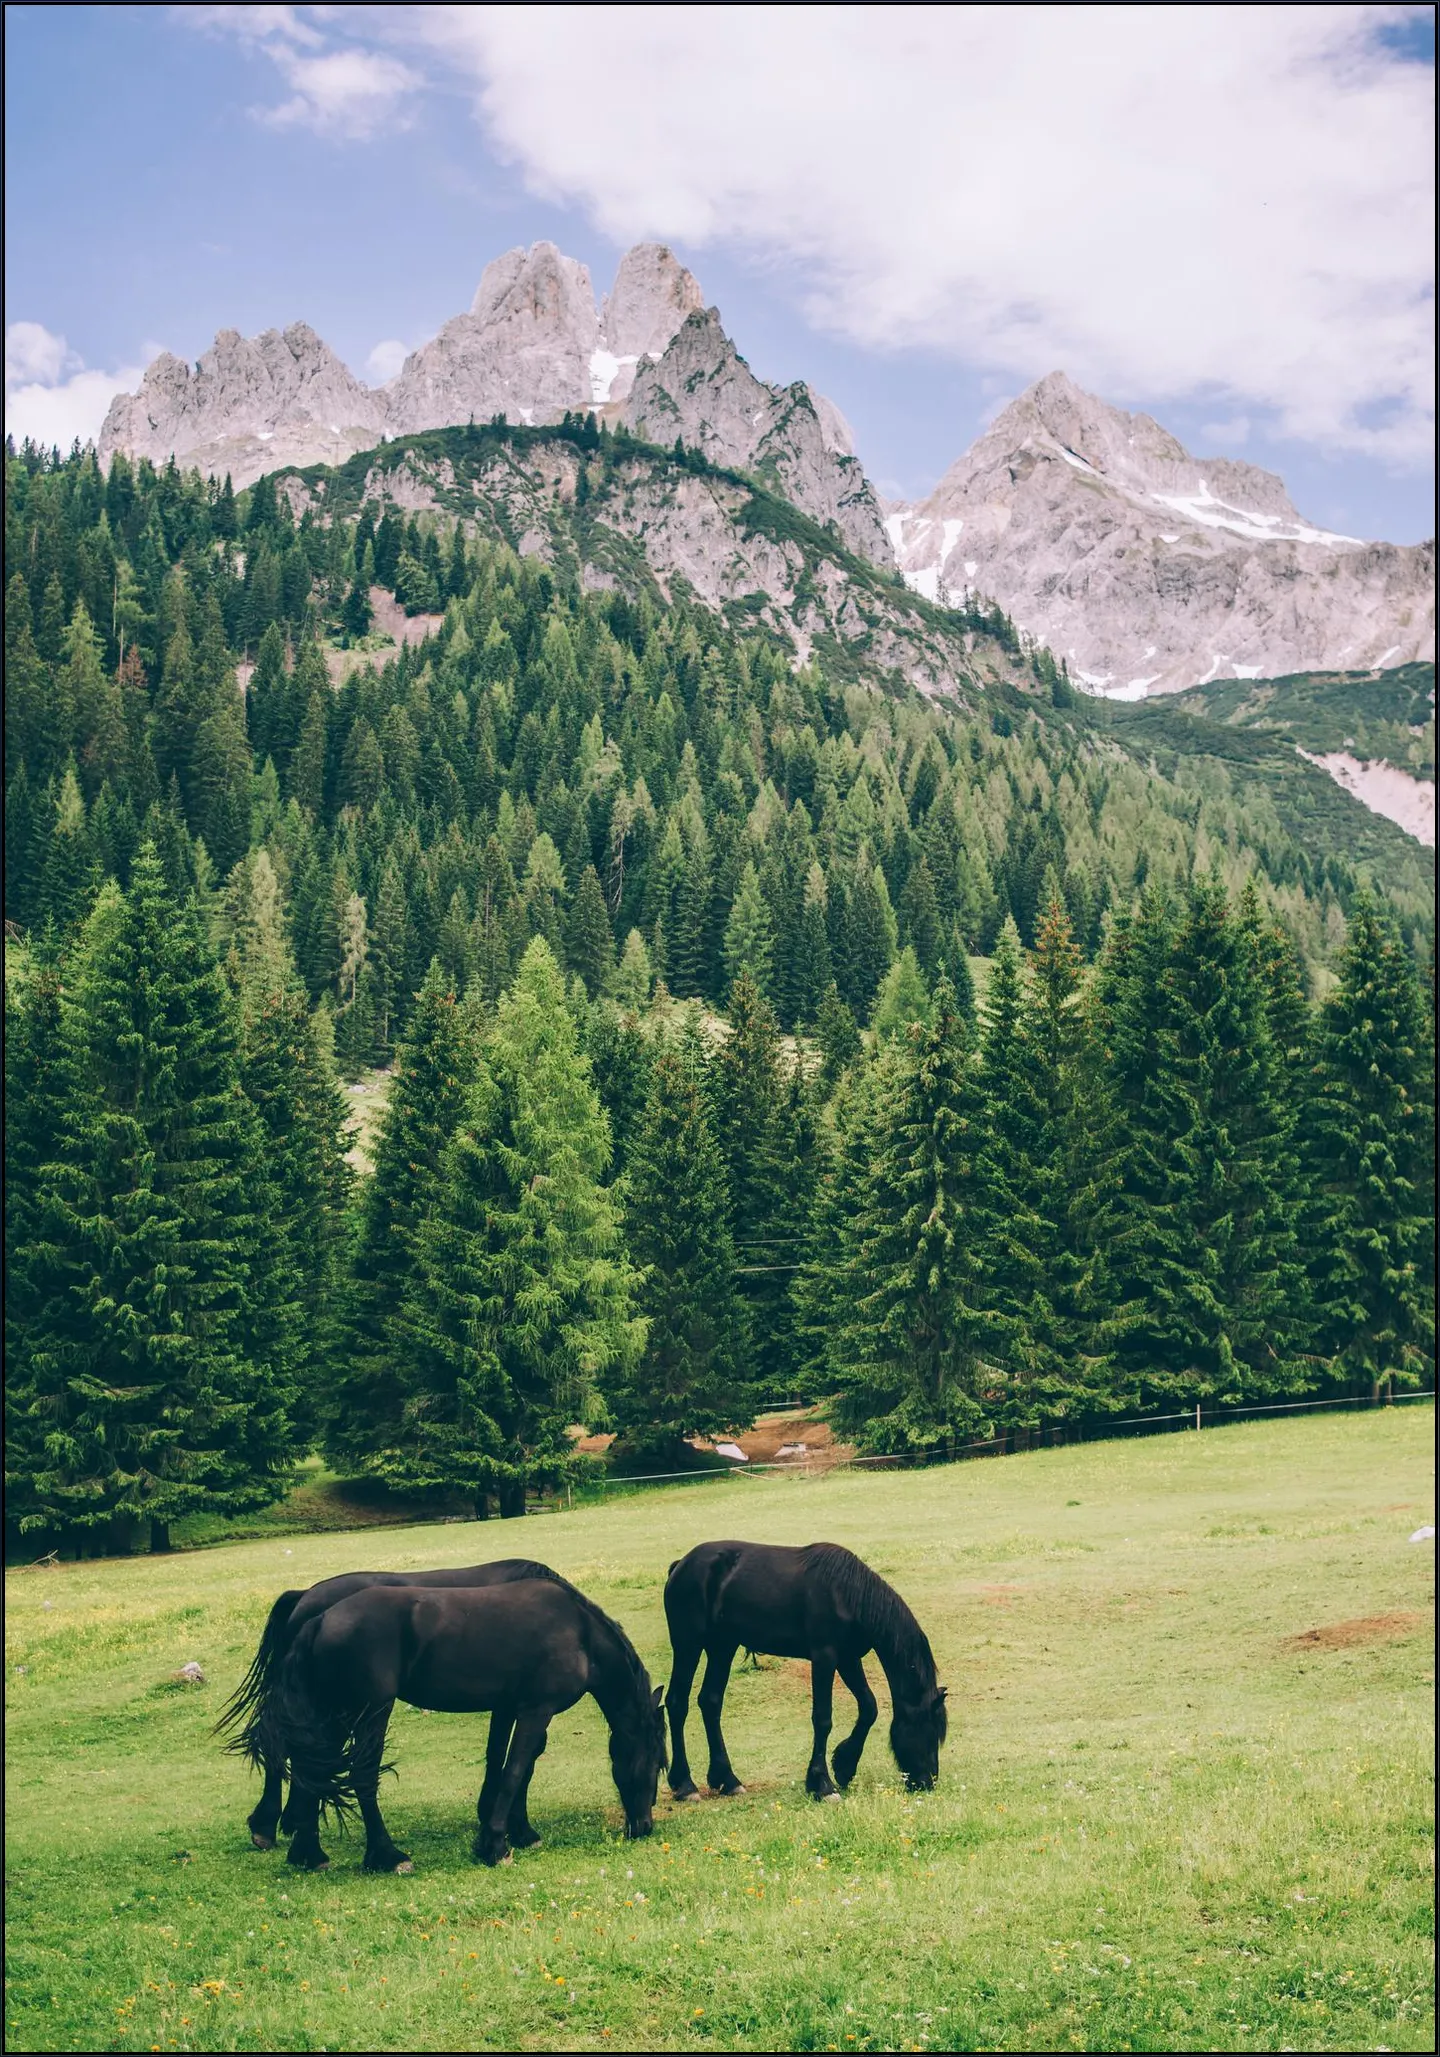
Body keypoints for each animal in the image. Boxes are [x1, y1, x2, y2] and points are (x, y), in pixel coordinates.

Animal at [260, 1579, 667, 1871]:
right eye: (656, 1763)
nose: (645, 1826)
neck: (578, 1632)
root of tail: (318, 1621)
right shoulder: (536, 1710)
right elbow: (515, 1770)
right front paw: (496, 1845)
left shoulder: (508, 1708)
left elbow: (507, 1766)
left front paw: (513, 1831)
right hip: (369, 1713)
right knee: (360, 1777)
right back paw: (387, 1856)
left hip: (335, 1717)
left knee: (313, 1774)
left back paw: (308, 1854)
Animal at [663, 1540, 947, 1801]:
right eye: (929, 1730)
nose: (927, 1781)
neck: (846, 1594)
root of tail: (681, 1565)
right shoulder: (824, 1657)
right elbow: (822, 1719)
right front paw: (822, 1784)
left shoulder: (848, 1658)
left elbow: (869, 1707)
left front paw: (844, 1766)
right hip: (688, 1644)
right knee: (677, 1703)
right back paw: (685, 1785)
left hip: (722, 1647)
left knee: (710, 1702)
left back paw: (727, 1780)